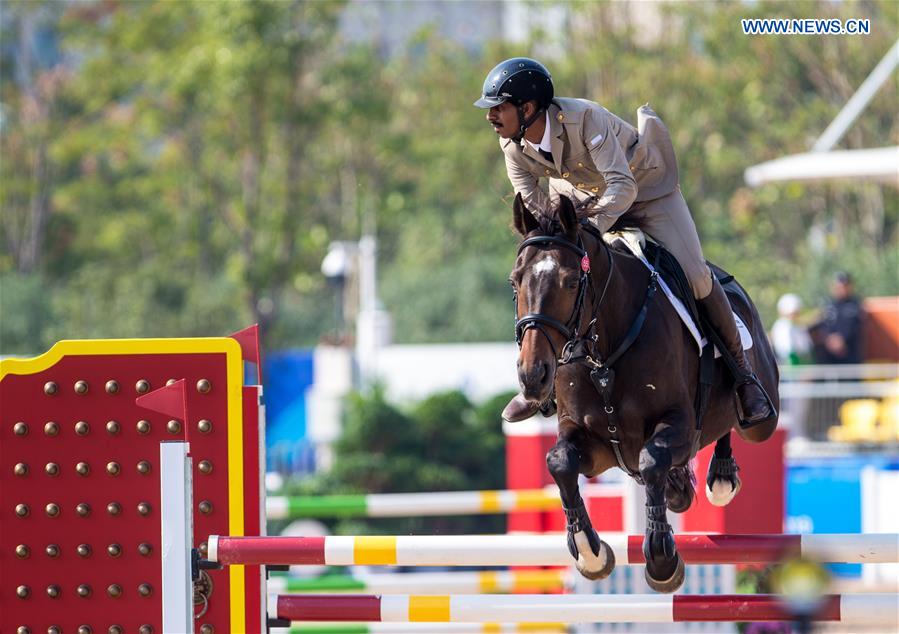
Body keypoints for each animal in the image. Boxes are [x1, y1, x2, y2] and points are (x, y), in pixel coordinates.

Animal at [506, 193, 780, 592]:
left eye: (571, 282)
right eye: (515, 282)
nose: (533, 376)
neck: (604, 355)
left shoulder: (679, 425)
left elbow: (652, 459)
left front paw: (662, 559)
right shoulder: (593, 444)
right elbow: (559, 462)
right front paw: (590, 552)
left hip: (762, 422)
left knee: (738, 422)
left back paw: (722, 474)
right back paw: (682, 487)